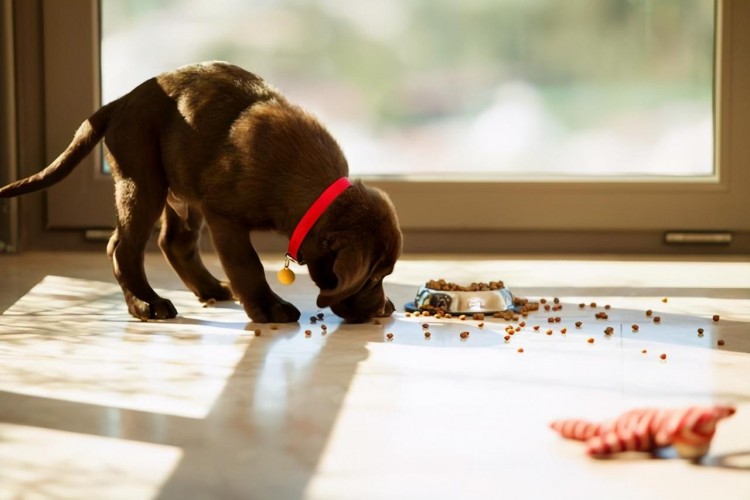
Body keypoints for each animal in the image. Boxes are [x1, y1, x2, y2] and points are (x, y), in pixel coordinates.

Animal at [2, 61, 402, 324]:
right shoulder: (225, 215)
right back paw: (146, 305)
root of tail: (122, 101)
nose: (383, 310)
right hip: (142, 180)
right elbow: (248, 264)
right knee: (122, 247)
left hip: (181, 190)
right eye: (373, 277)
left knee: (174, 242)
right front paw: (268, 307)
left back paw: (209, 288)